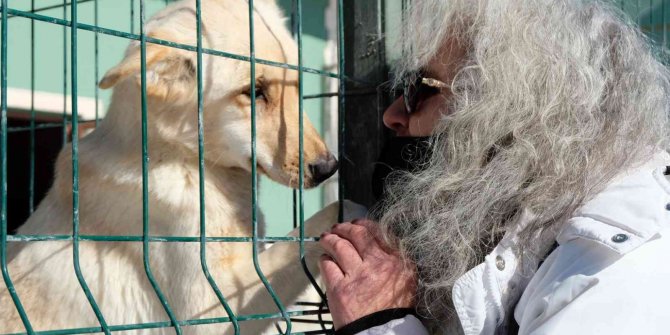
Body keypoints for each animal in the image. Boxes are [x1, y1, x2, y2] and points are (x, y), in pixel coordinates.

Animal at [0, 1, 362, 334]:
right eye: (253, 92)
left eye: (297, 86)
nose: (328, 168)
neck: (181, 159)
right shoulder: (212, 309)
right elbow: (311, 230)